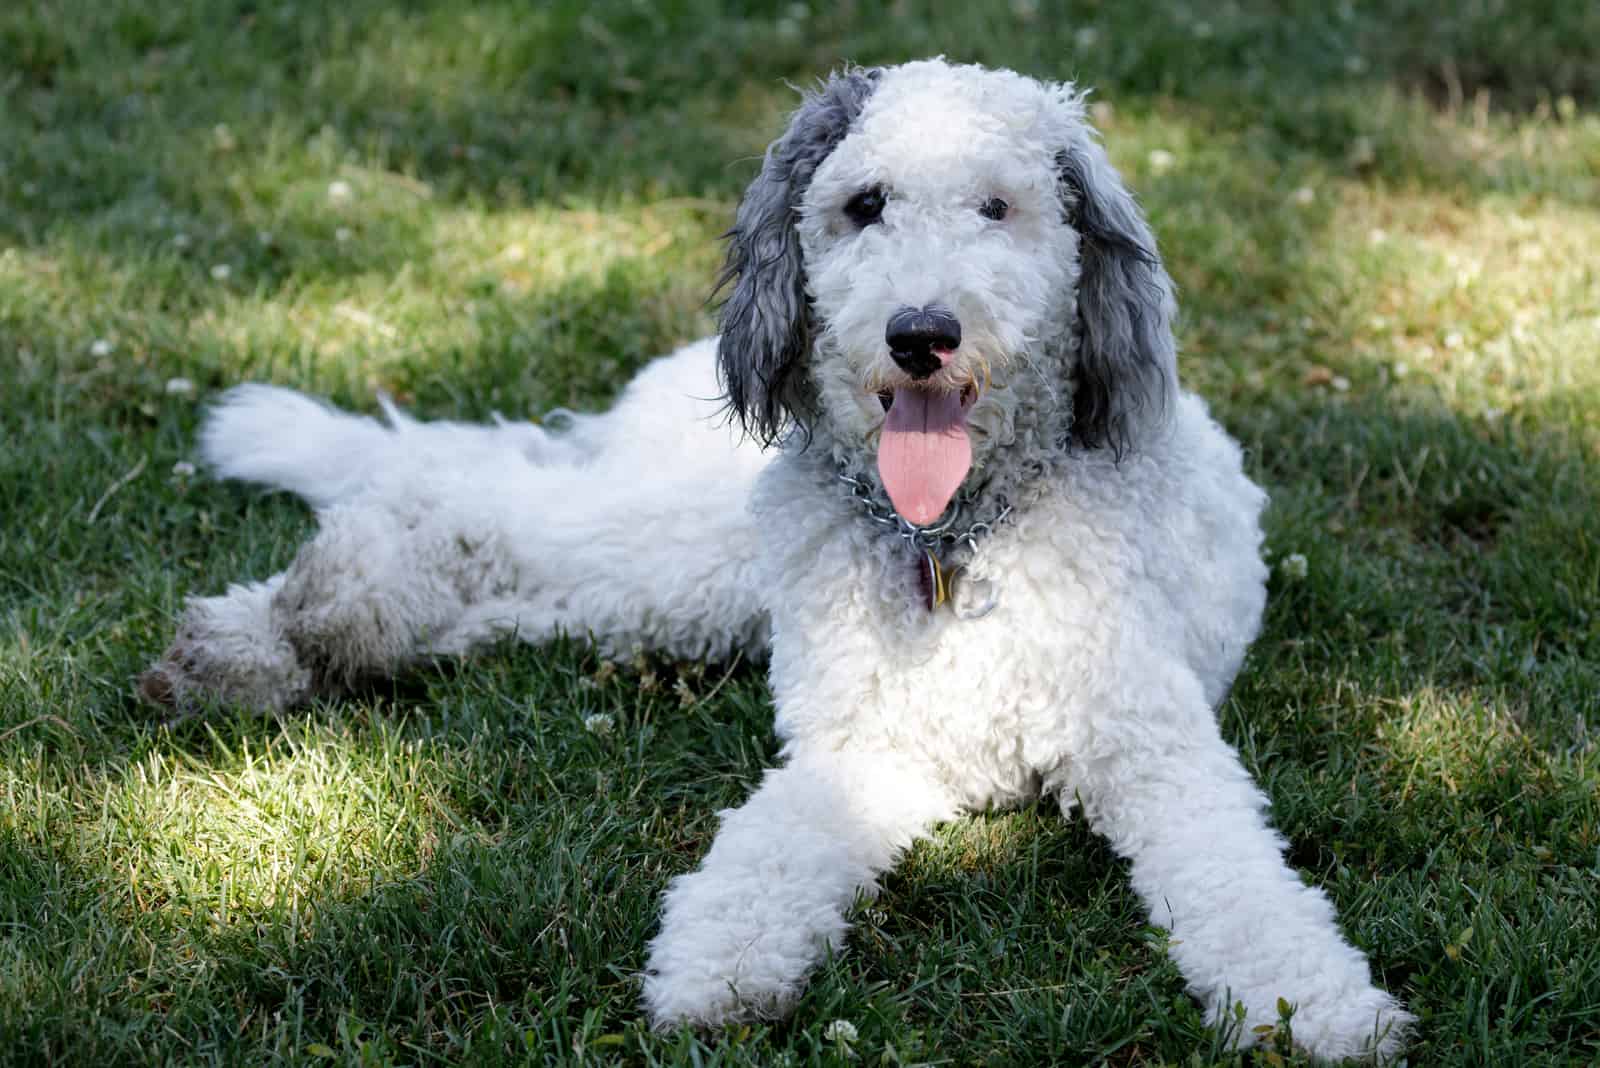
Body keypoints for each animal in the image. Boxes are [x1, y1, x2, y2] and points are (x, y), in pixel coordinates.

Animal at [140, 60, 1414, 1061]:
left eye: (999, 207)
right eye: (864, 204)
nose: (919, 333)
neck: (949, 541)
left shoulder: (1136, 748)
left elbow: (1241, 884)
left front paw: (1316, 1008)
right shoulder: (861, 741)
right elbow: (764, 855)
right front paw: (714, 965)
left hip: (675, 592)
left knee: (504, 574)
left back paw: (282, 643)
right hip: (695, 551)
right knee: (471, 501)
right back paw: (297, 618)